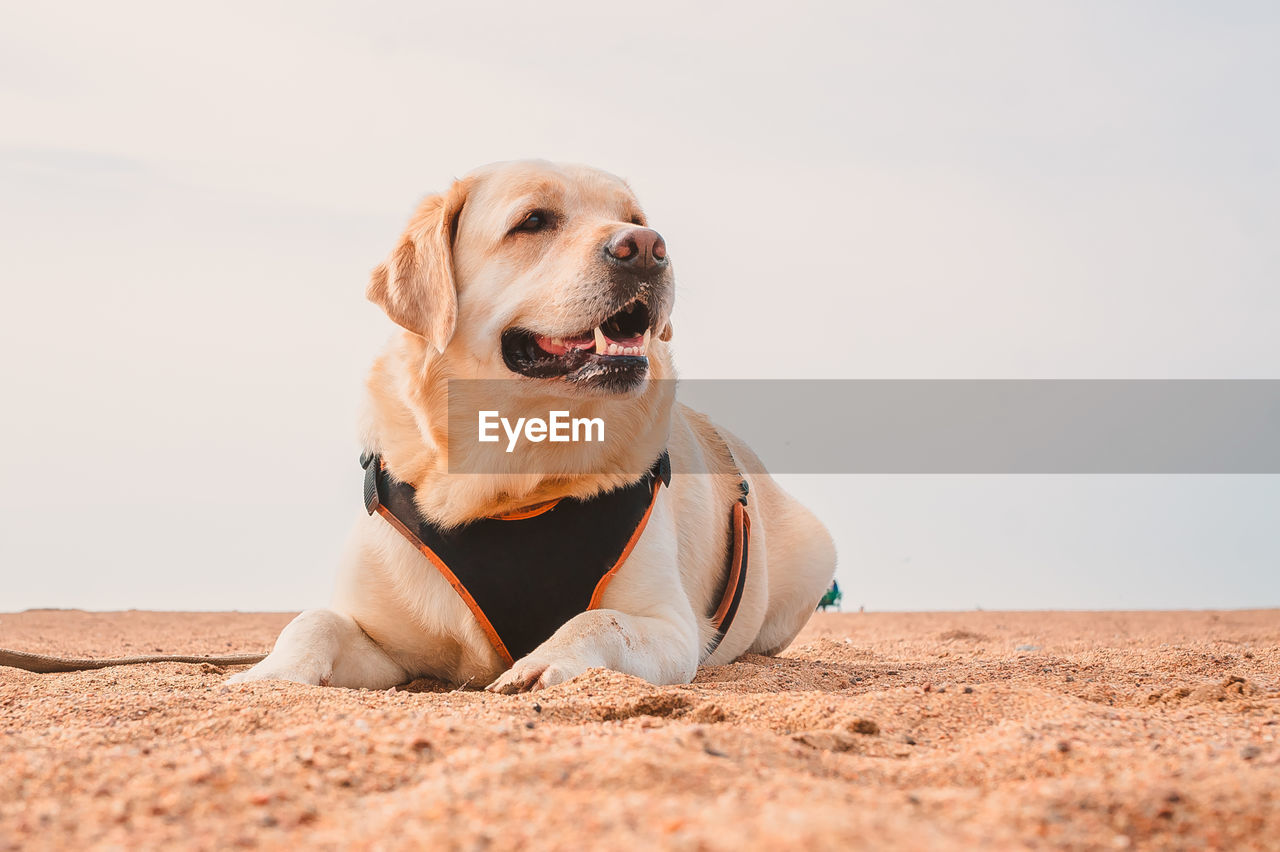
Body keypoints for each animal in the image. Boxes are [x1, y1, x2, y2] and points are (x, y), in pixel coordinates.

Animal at [232, 159, 839, 690]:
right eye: (532, 220)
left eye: (636, 218)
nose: (648, 248)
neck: (510, 482)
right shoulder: (382, 637)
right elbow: (313, 620)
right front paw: (269, 673)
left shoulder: (672, 626)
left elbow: (598, 619)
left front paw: (540, 662)